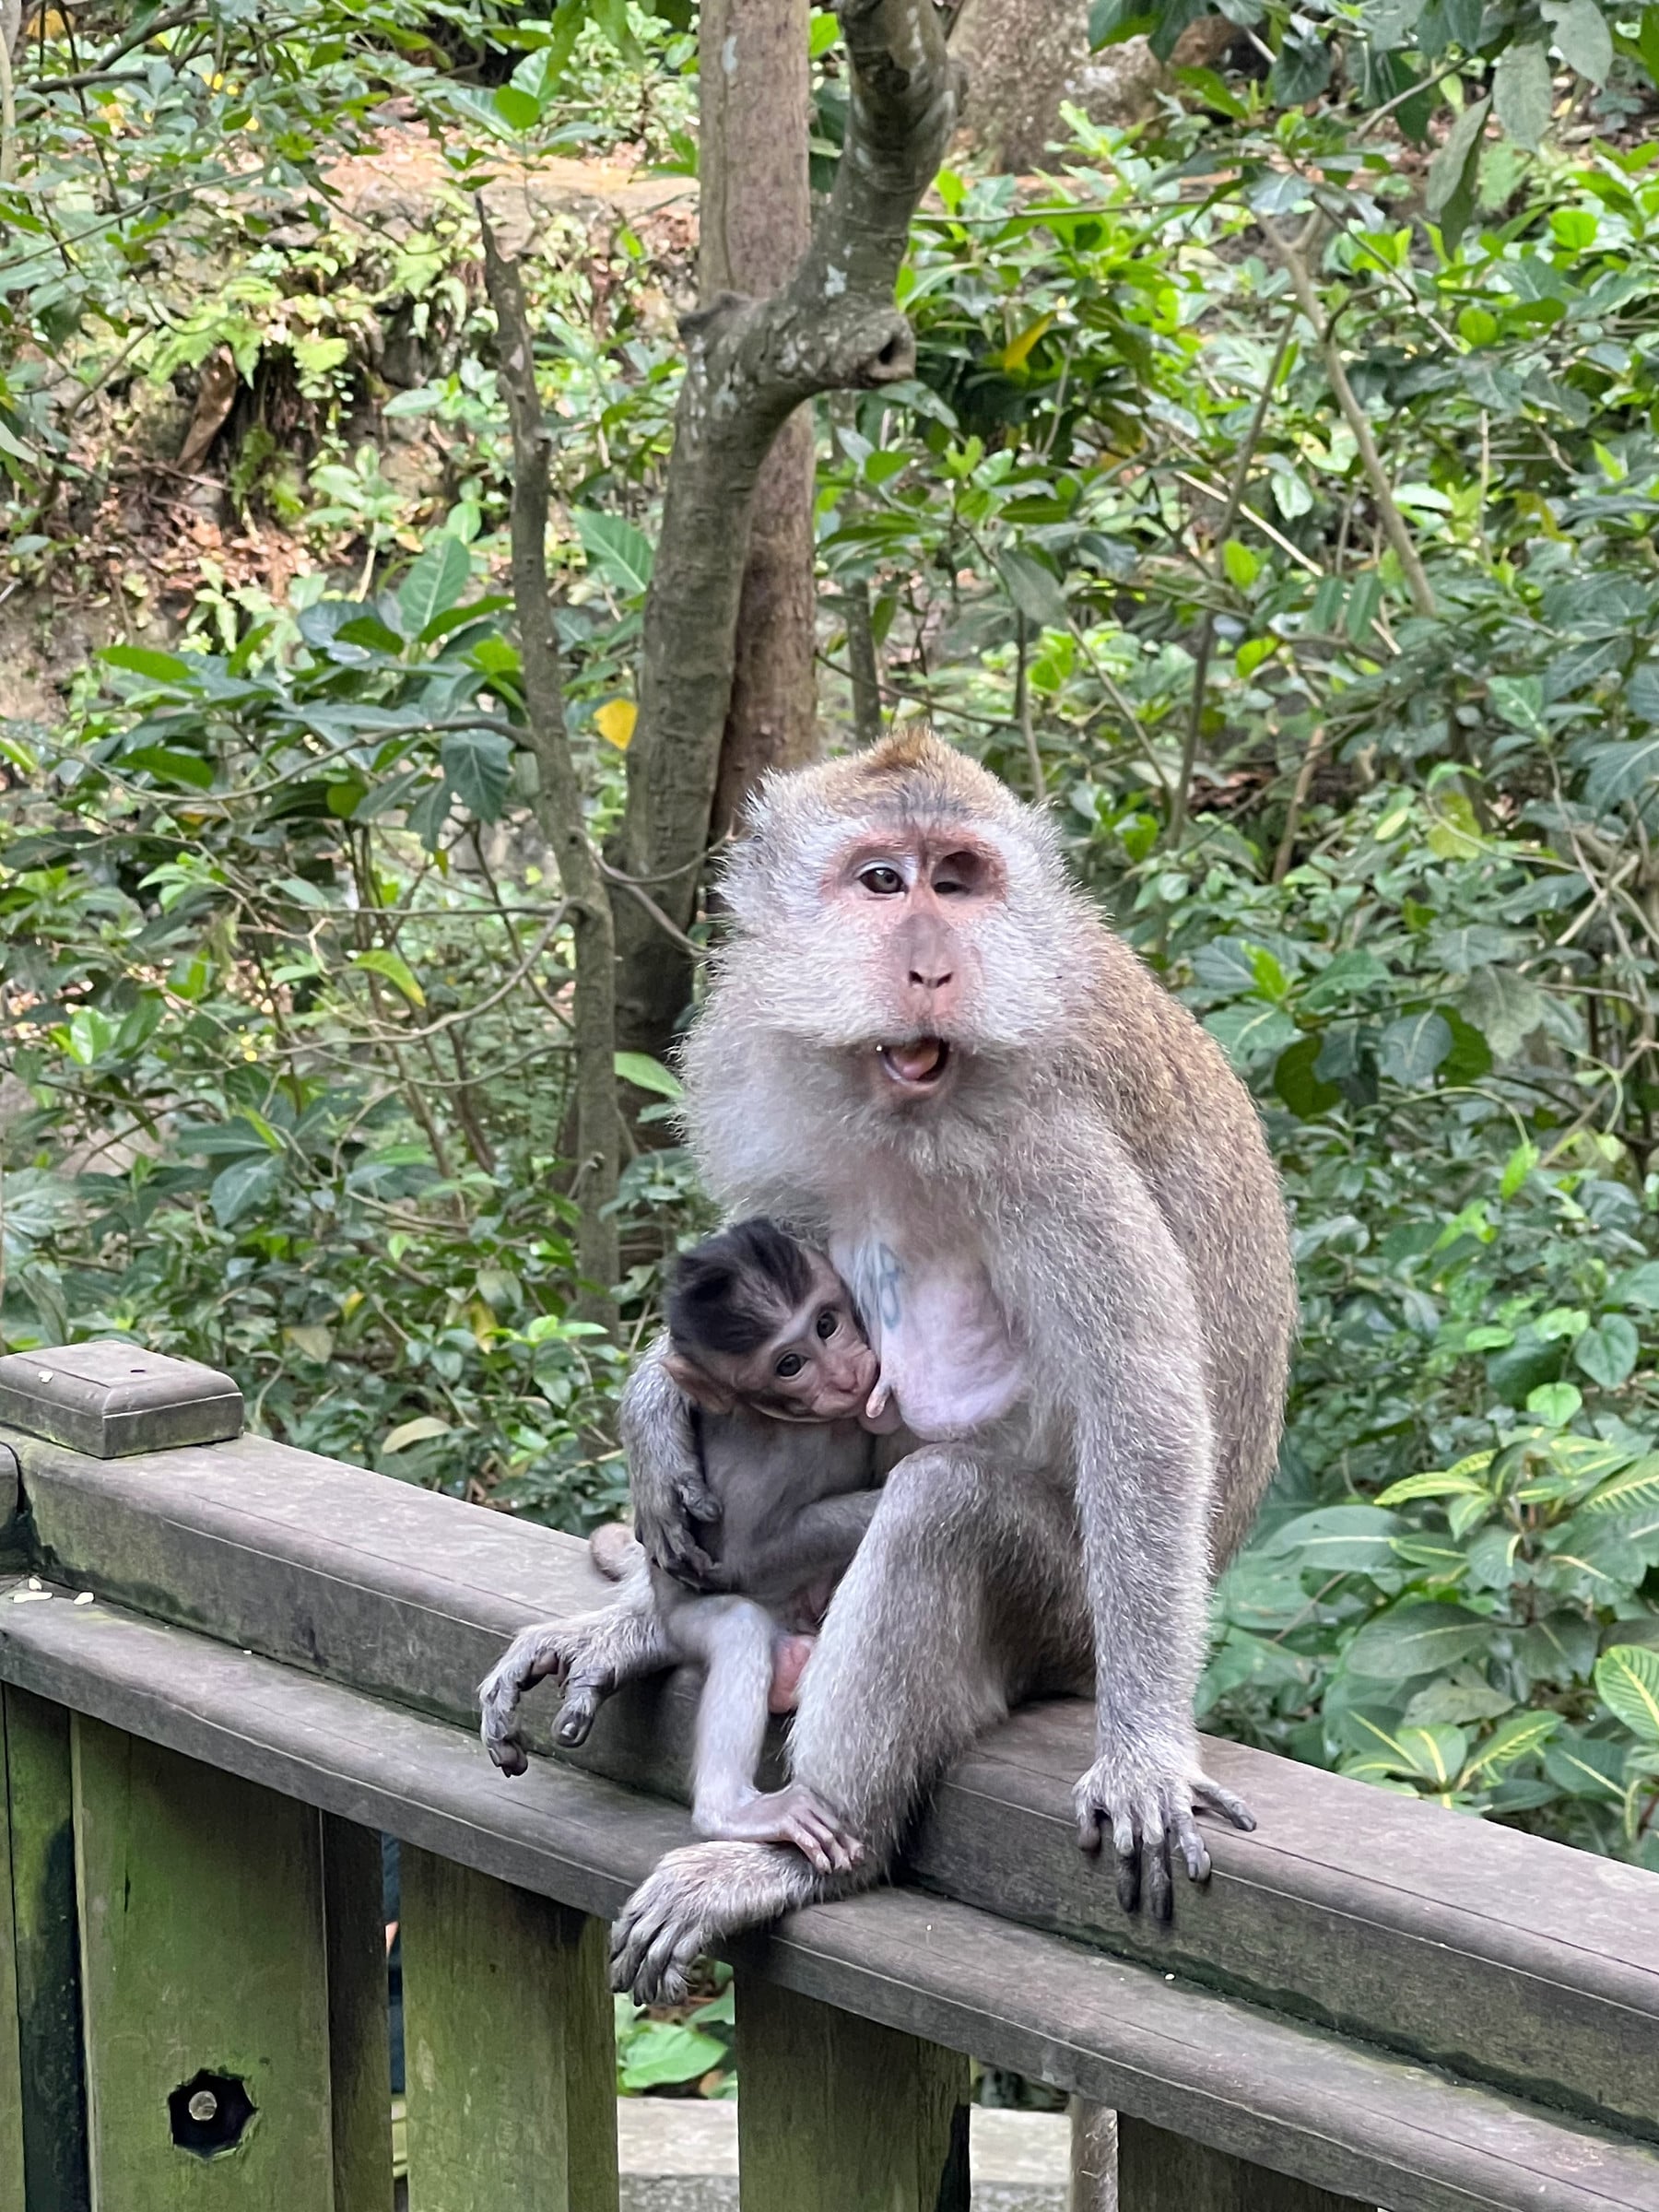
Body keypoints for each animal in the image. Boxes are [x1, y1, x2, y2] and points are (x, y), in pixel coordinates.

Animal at [478, 1220, 905, 1873]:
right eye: (789, 1364)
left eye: (827, 1324)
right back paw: (731, 1809)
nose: (843, 1374)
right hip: (690, 1619)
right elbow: (752, 1551)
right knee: (738, 1628)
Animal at [605, 726, 1296, 2004]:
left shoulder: (1047, 1138)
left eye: (960, 880)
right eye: (884, 881)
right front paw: (653, 1415)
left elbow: (1139, 1394)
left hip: (1067, 1616)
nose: (931, 967)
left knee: (946, 1507)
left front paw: (1144, 1752)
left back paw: (813, 1844)